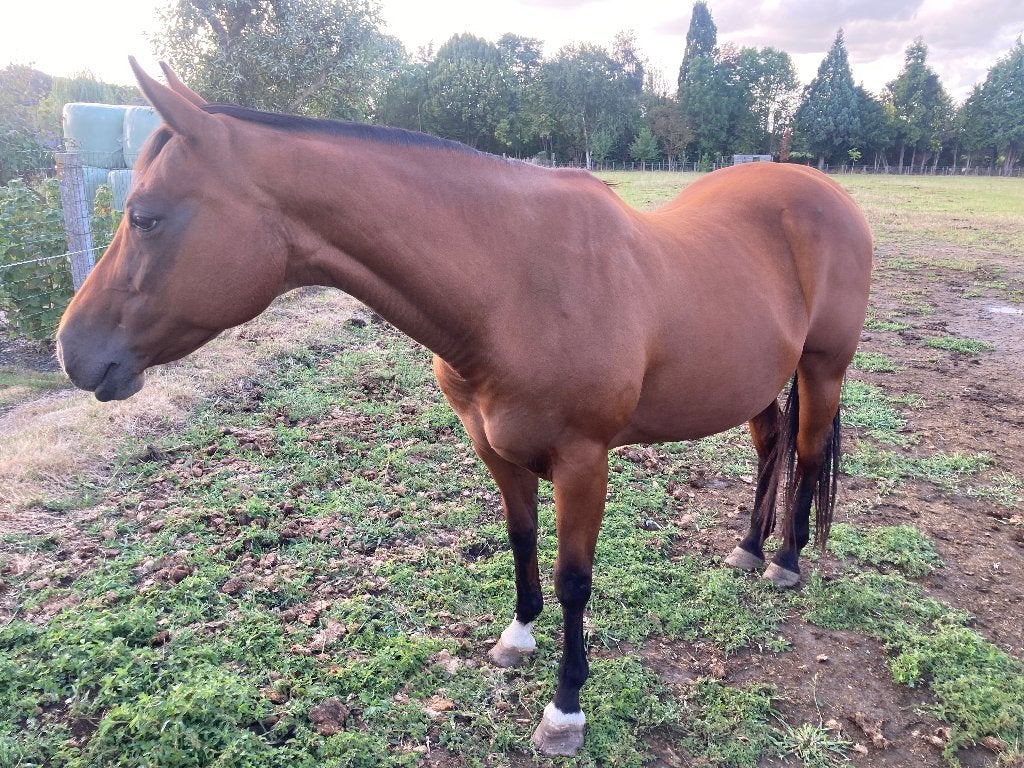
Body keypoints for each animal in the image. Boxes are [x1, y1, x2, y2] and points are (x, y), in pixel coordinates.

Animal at [56, 60, 872, 757]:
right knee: (771, 448)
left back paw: (787, 560)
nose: (71, 350)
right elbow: (519, 539)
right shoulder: (494, 447)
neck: (513, 283)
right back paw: (750, 547)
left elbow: (575, 579)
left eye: (145, 216)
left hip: (822, 368)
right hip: (758, 381)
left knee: (804, 453)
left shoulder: (584, 462)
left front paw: (564, 709)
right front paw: (517, 637)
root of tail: (821, 190)